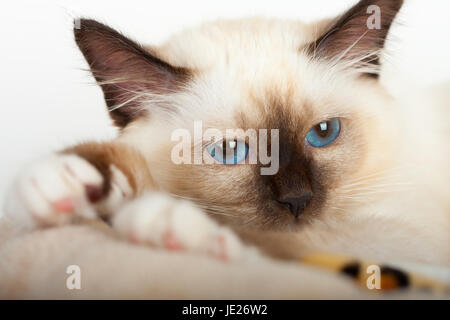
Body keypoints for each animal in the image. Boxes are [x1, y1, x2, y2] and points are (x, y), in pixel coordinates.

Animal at [3, 0, 450, 264]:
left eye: (323, 133)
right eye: (231, 151)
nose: (297, 200)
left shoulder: (403, 238)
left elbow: (276, 245)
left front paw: (170, 224)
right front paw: (63, 183)